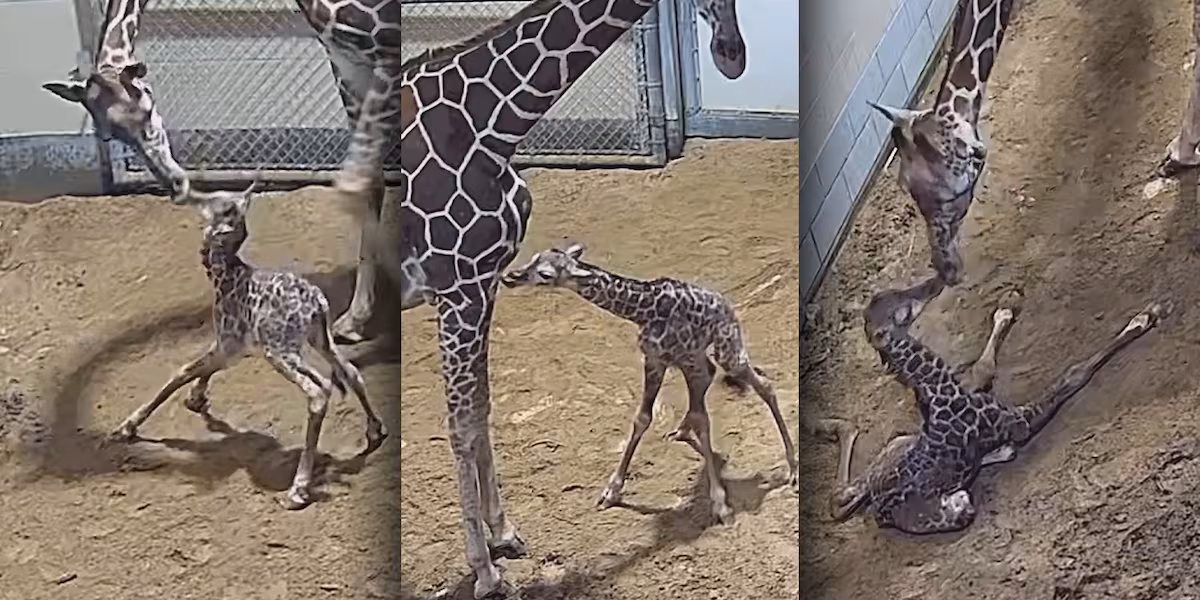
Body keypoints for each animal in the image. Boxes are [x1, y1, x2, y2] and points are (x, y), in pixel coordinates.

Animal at [107, 183, 387, 510]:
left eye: (218, 204)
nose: (183, 193)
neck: (224, 273)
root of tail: (316, 304)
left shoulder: (229, 342)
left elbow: (182, 372)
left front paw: (127, 427)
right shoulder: (234, 344)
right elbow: (198, 372)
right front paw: (196, 400)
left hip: (280, 351)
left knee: (318, 391)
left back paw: (297, 490)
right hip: (320, 338)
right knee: (350, 371)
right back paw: (374, 431)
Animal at [501, 242, 849, 524]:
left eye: (545, 274)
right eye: (533, 257)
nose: (511, 276)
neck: (643, 310)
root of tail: (727, 305)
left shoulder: (685, 358)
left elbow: (704, 419)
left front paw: (721, 505)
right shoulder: (655, 360)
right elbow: (643, 418)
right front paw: (611, 491)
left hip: (727, 350)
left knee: (762, 384)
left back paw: (793, 469)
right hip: (695, 359)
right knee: (709, 384)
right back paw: (683, 430)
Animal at [830, 279, 1167, 534]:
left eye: (897, 295)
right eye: (904, 309)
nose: (931, 285)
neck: (945, 393)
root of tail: (878, 510)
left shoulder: (971, 387)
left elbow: (984, 367)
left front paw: (1009, 302)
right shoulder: (1020, 421)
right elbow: (1075, 374)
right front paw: (1145, 316)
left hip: (900, 442)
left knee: (844, 495)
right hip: (959, 507)